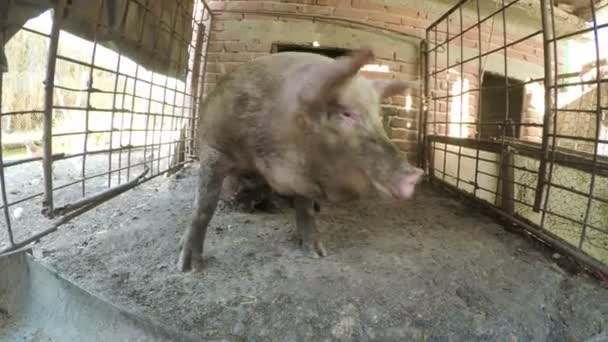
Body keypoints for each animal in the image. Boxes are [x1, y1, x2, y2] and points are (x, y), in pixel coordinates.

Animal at [176, 48, 422, 272]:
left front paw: (318, 253)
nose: (416, 174)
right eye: (346, 113)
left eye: (378, 118)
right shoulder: (214, 148)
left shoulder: (306, 173)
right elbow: (204, 206)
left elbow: (305, 209)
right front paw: (189, 267)